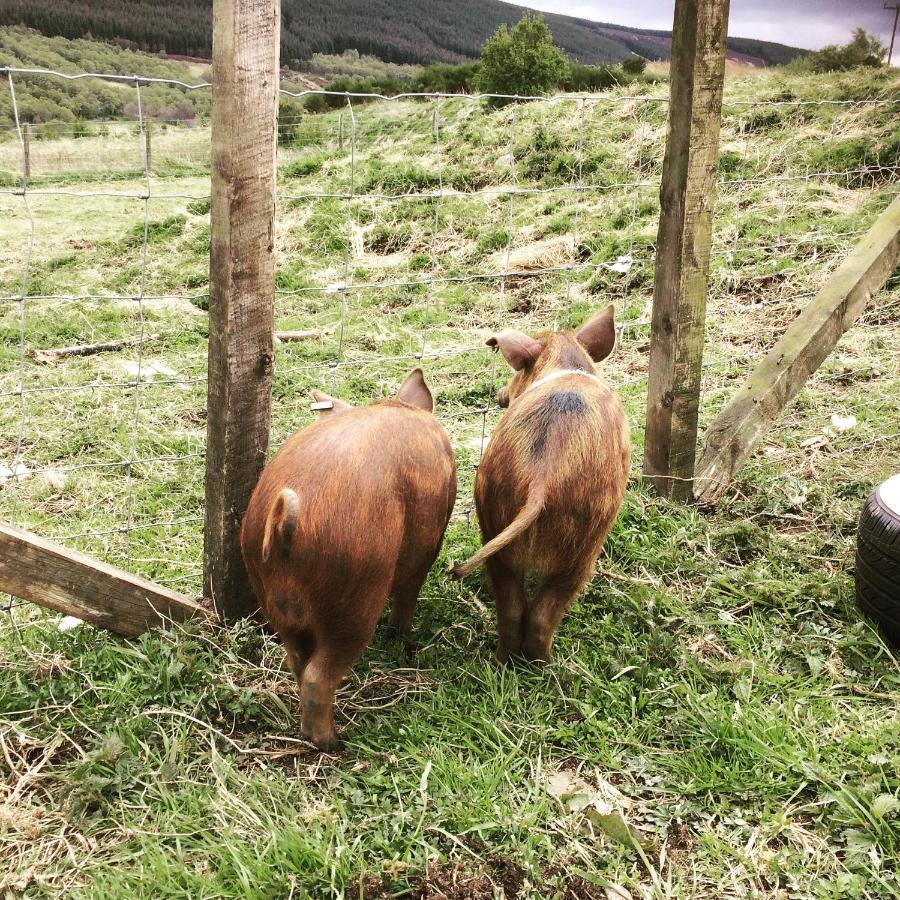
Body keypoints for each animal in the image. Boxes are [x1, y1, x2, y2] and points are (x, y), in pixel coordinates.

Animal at [241, 370, 458, 748]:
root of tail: (283, 523)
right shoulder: (428, 545)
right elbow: (409, 592)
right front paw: (401, 637)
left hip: (268, 594)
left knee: (297, 662)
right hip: (355, 596)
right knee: (319, 676)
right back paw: (333, 742)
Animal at [454, 306, 628, 664]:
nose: (501, 395)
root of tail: (540, 480)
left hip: (494, 525)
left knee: (511, 609)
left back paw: (502, 662)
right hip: (583, 545)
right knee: (543, 615)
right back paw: (550, 665)